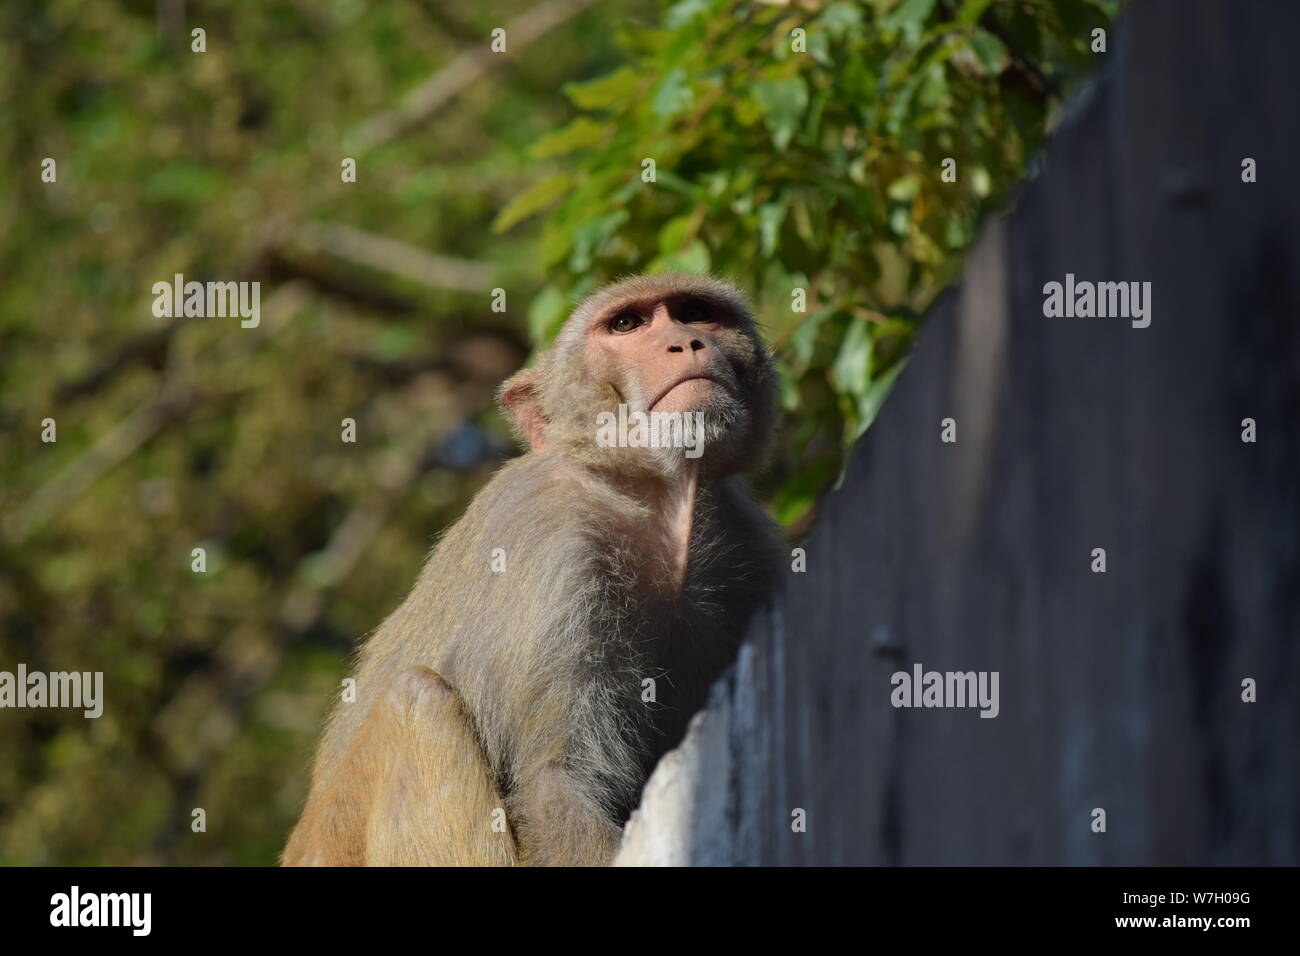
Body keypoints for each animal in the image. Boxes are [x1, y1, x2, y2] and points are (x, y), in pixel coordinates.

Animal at [284, 270, 780, 868]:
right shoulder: (558, 548)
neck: (655, 503)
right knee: (417, 700)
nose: (685, 342)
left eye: (695, 312)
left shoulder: (750, 545)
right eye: (627, 324)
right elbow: (552, 783)